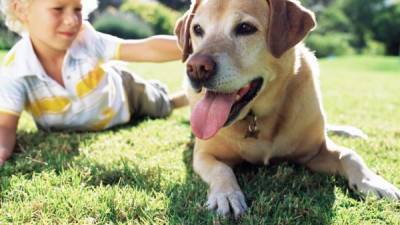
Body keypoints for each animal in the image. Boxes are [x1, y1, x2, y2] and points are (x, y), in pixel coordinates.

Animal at [175, 0, 400, 217]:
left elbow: (350, 155)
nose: (196, 68)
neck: (257, 118)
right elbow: (221, 169)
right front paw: (226, 195)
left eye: (245, 28)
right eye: (197, 29)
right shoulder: (204, 155)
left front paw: (374, 182)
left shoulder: (316, 151)